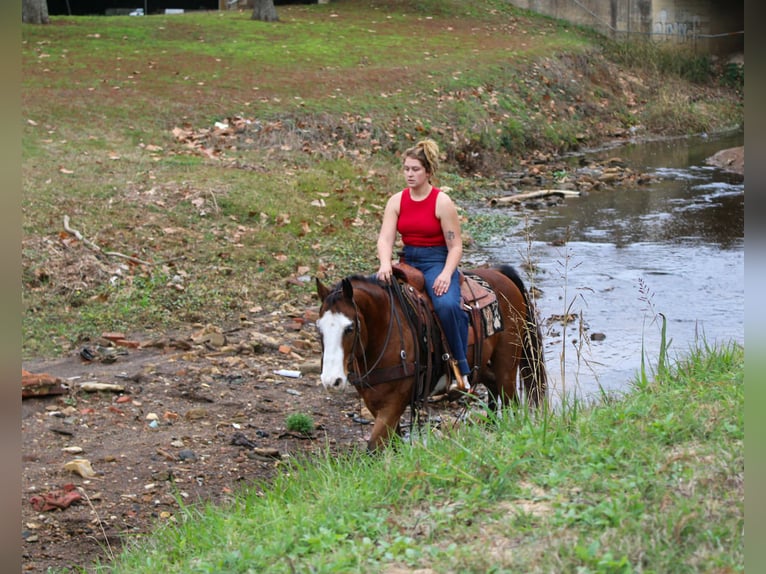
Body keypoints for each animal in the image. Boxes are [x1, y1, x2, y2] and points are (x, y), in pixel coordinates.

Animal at [315, 263, 547, 451]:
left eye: (350, 328)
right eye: (319, 328)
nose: (331, 381)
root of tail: (499, 275)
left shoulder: (394, 402)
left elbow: (373, 447)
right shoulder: (373, 402)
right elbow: (392, 444)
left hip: (506, 363)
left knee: (510, 399)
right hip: (480, 366)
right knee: (492, 384)